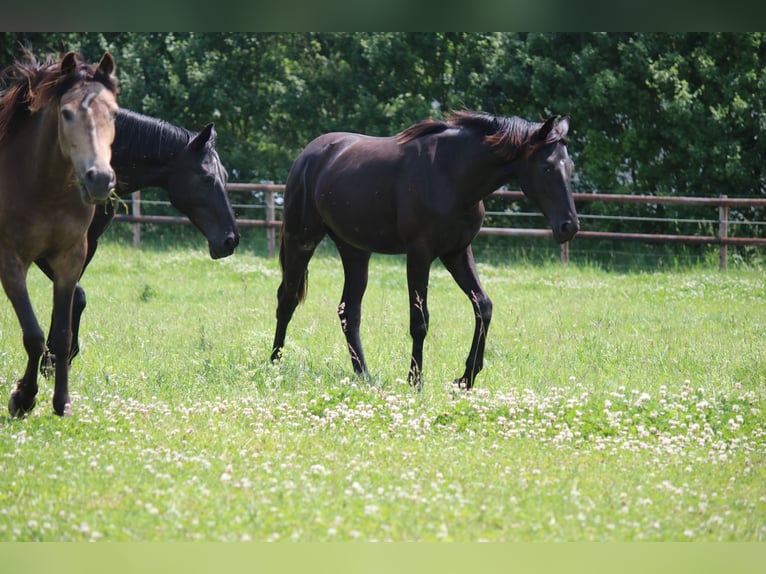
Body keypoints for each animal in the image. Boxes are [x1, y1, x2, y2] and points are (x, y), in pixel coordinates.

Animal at [0, 50, 119, 416]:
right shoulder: (10, 261)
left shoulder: (70, 259)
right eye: (66, 113)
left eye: (114, 113)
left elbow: (63, 335)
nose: (100, 179)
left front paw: (61, 401)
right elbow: (33, 335)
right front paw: (23, 397)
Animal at [34, 108, 241, 372]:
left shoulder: (85, 245)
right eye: (206, 177)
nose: (230, 239)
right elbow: (75, 295)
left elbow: (70, 297)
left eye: (225, 176)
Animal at [271, 110, 579, 389]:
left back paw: (364, 376)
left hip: (355, 251)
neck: (451, 175)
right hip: (302, 240)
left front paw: (466, 378)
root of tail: (307, 156)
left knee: (349, 311)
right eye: (547, 167)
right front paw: (415, 380)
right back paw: (274, 364)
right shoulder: (420, 255)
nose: (569, 226)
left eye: (571, 167)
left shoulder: (457, 252)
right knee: (287, 299)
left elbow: (483, 306)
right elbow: (419, 320)